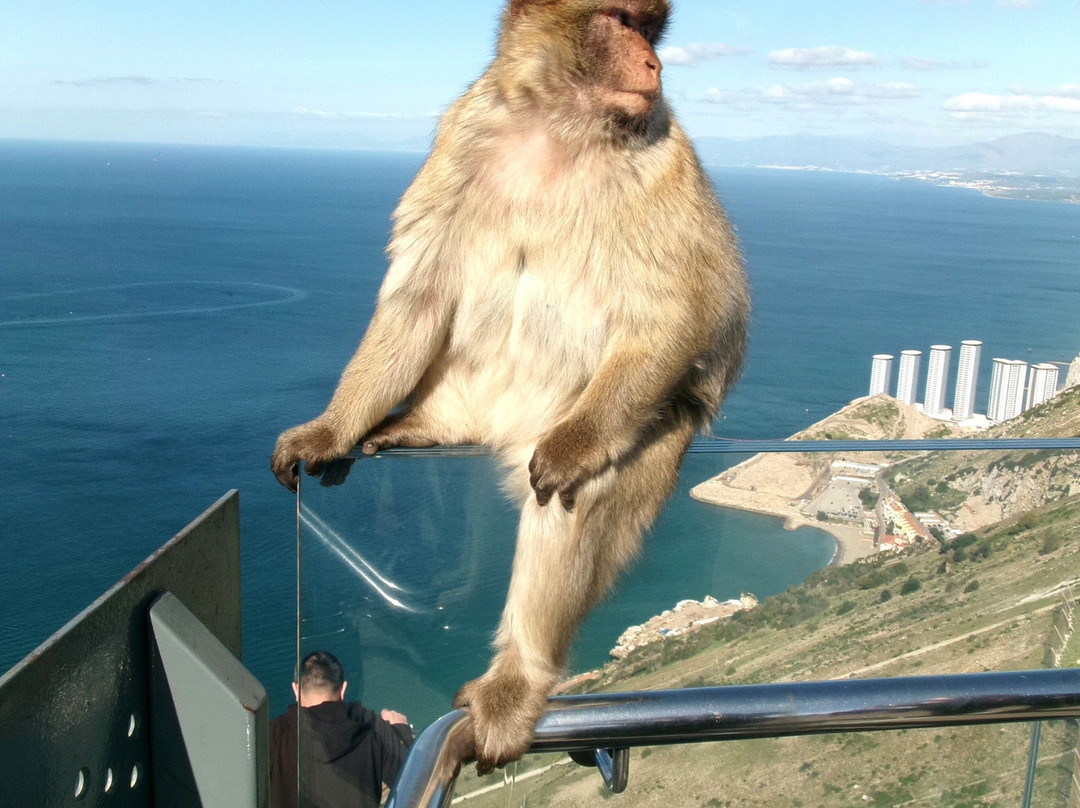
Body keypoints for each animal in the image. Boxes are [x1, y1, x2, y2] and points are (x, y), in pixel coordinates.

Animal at [271, 0, 749, 774]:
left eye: (651, 31)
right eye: (624, 23)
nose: (653, 64)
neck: (558, 126)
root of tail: (499, 425)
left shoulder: (659, 153)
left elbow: (676, 312)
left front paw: (579, 449)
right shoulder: (466, 131)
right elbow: (420, 290)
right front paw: (332, 427)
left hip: (610, 416)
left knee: (581, 492)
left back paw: (518, 678)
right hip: (470, 386)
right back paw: (424, 424)